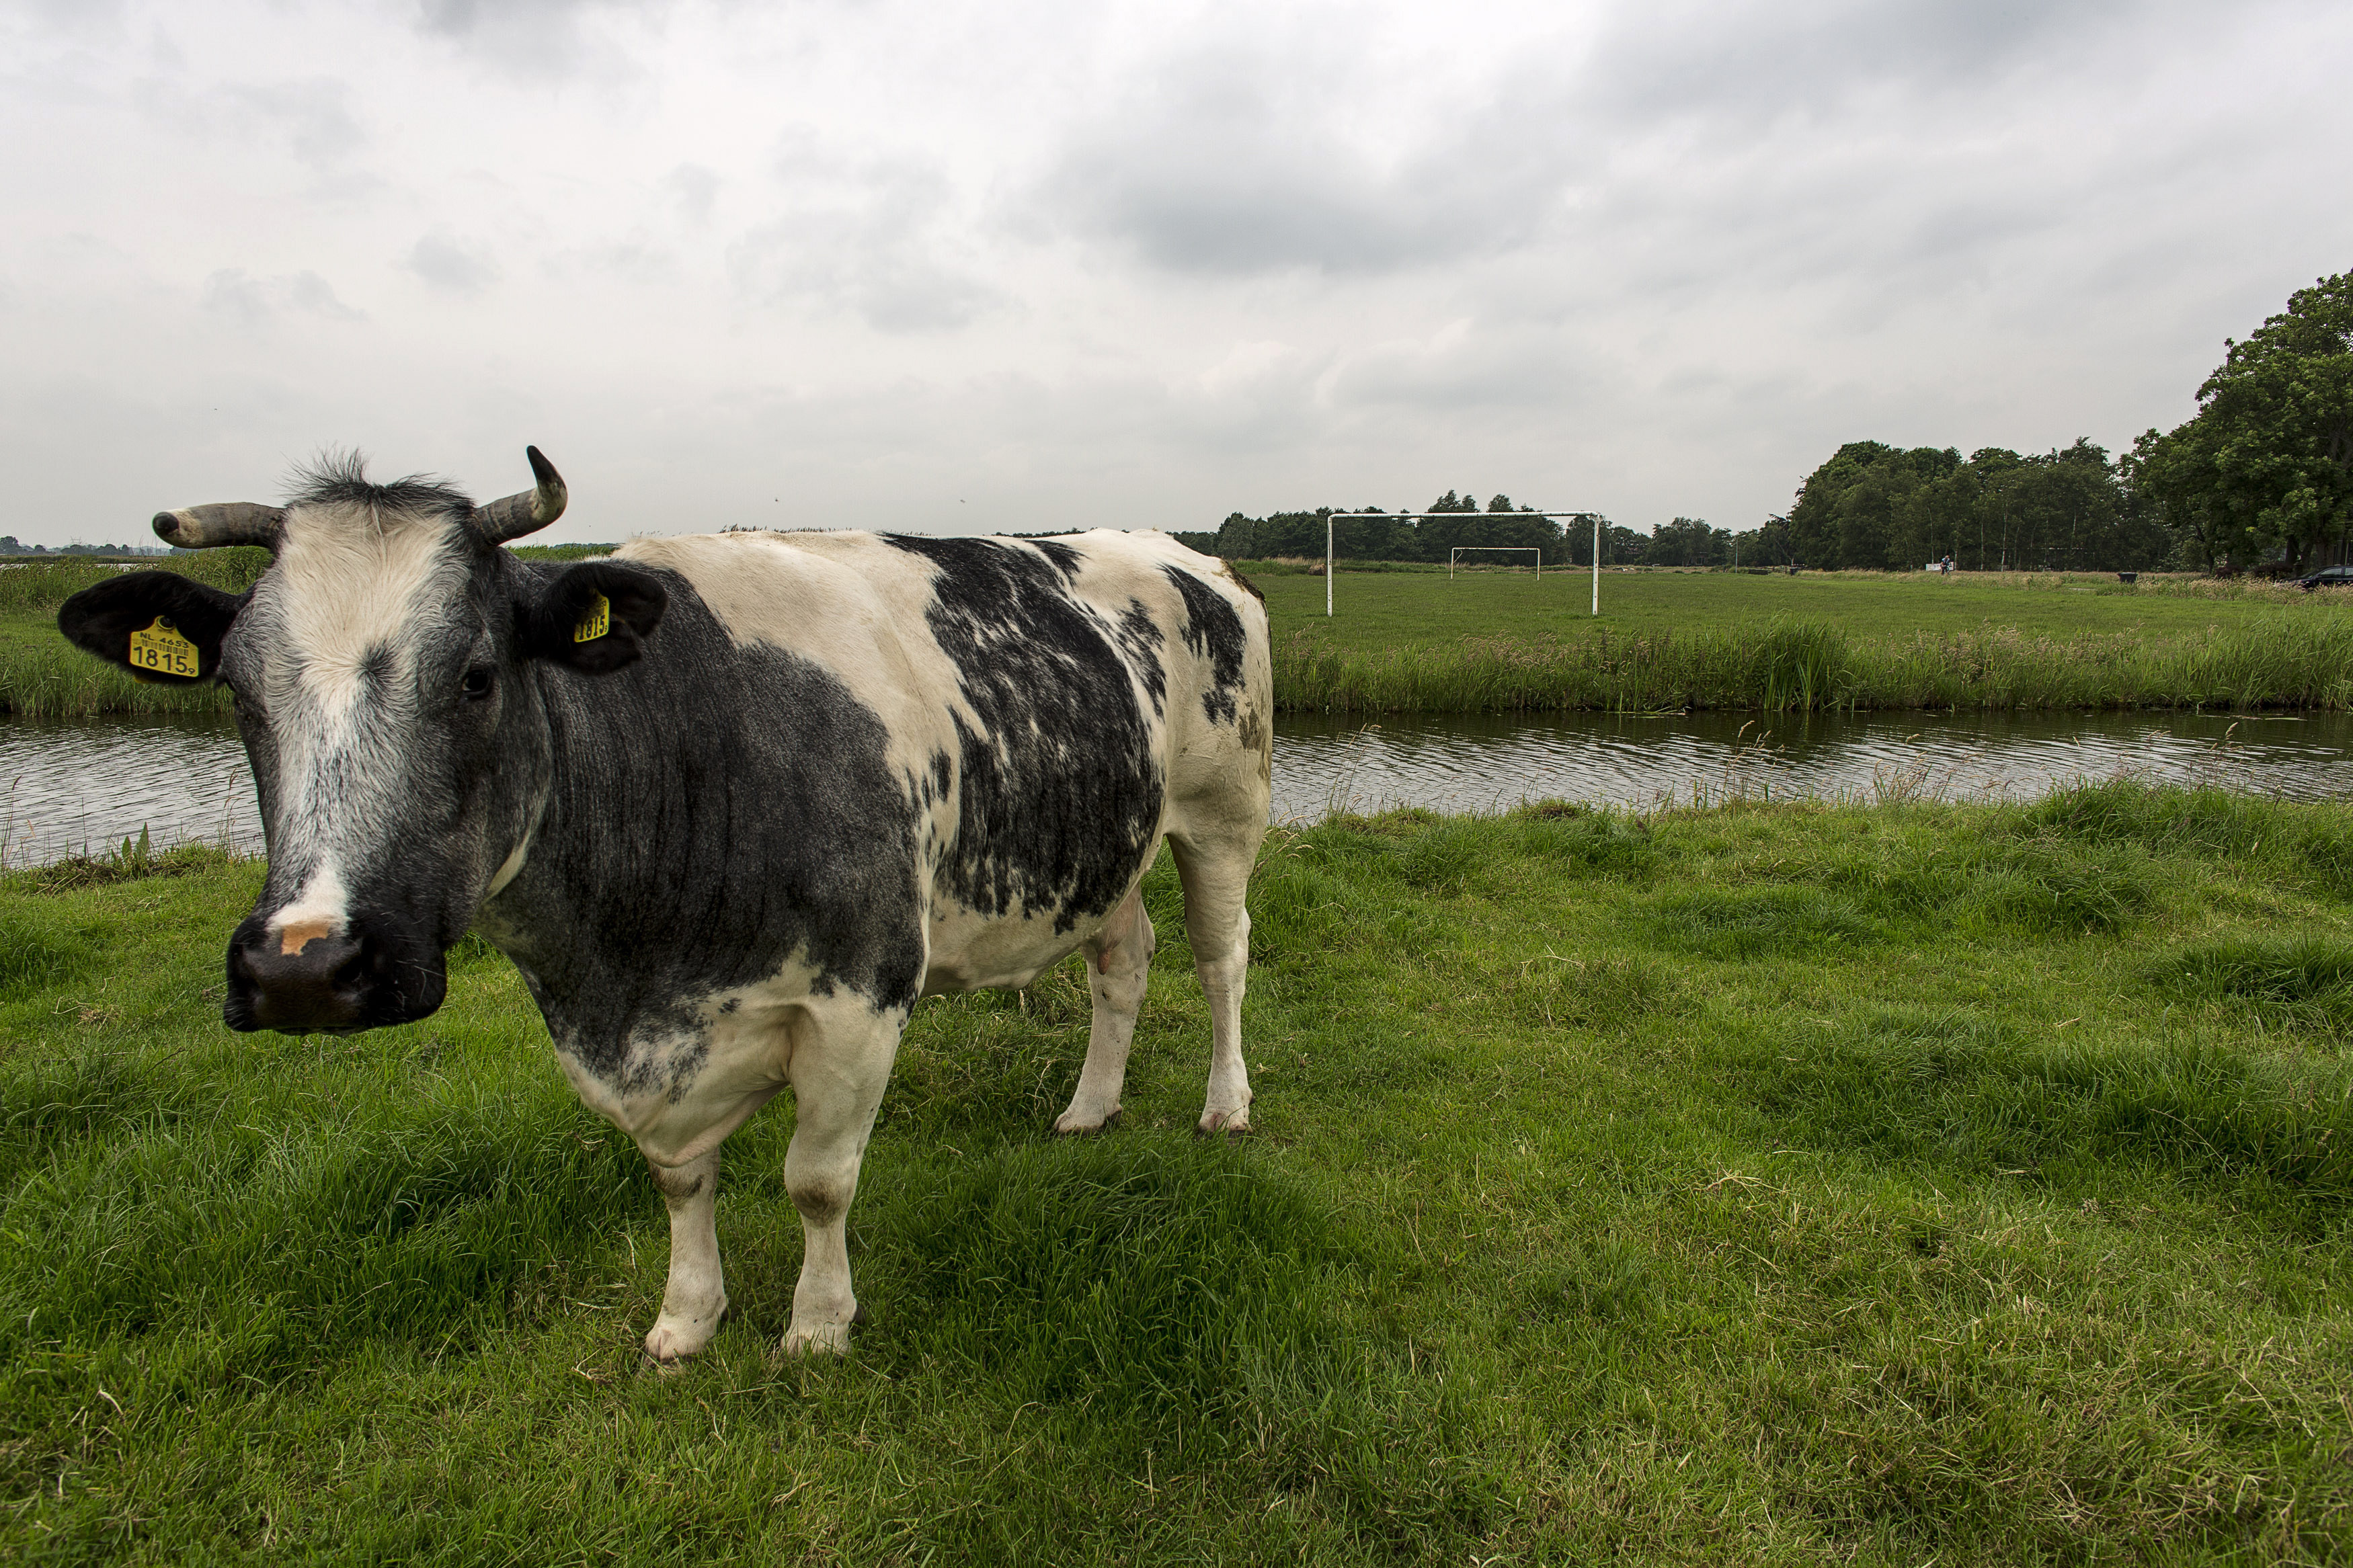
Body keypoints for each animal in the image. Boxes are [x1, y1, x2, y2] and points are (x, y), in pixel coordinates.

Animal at [58, 448, 1273, 1362]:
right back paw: (1090, 1106)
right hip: (1110, 844)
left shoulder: (862, 989)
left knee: (1221, 958)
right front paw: (688, 1318)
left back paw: (1225, 1104)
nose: (303, 968)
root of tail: (1176, 548)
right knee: (1123, 961)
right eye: (238, 689)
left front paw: (817, 1327)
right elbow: (680, 1179)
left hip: (1224, 811)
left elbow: (817, 1181)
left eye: (477, 673)